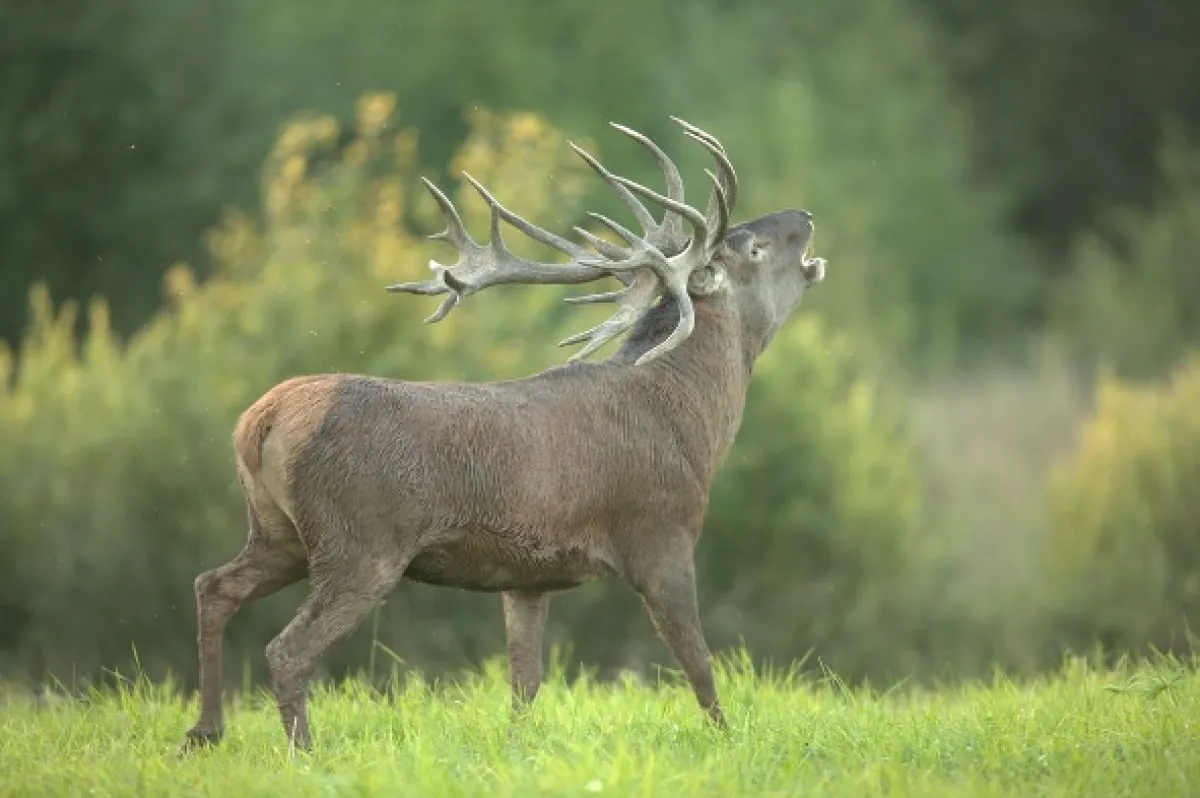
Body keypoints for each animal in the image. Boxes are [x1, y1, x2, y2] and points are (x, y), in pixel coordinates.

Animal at [181, 117, 826, 753]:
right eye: (753, 246)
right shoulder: (661, 533)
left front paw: (515, 748)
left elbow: (525, 682)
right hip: (358, 540)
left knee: (214, 586)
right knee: (287, 648)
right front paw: (729, 742)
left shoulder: (529, 575)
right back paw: (301, 752)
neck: (691, 420)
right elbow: (699, 663)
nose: (805, 214)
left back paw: (204, 731)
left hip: (279, 532)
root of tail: (261, 419)